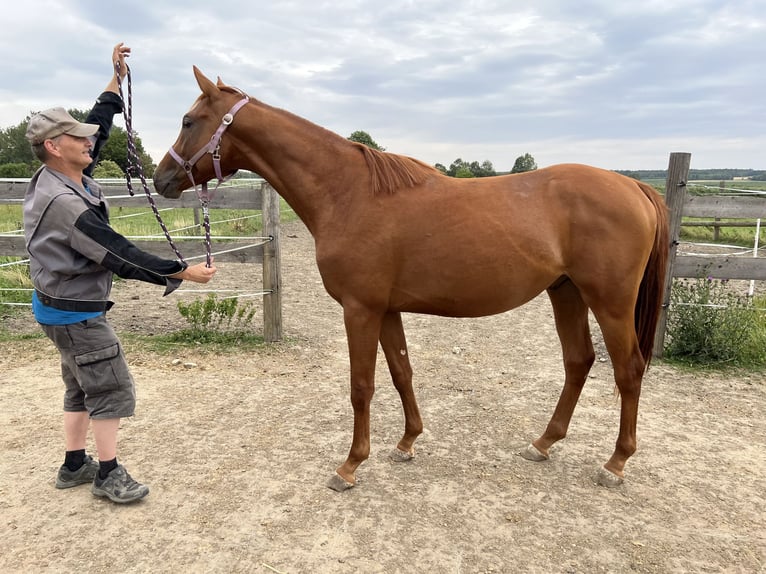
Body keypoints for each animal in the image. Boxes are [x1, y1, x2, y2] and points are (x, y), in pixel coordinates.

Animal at [153, 67, 668, 490]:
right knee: (579, 362)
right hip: (567, 293)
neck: (348, 193)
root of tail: (634, 185)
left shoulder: (360, 309)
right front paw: (406, 443)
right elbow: (402, 372)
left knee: (628, 370)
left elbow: (362, 386)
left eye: (188, 120)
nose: (160, 180)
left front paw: (350, 466)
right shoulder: (386, 309)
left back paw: (616, 464)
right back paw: (543, 443)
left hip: (610, 302)